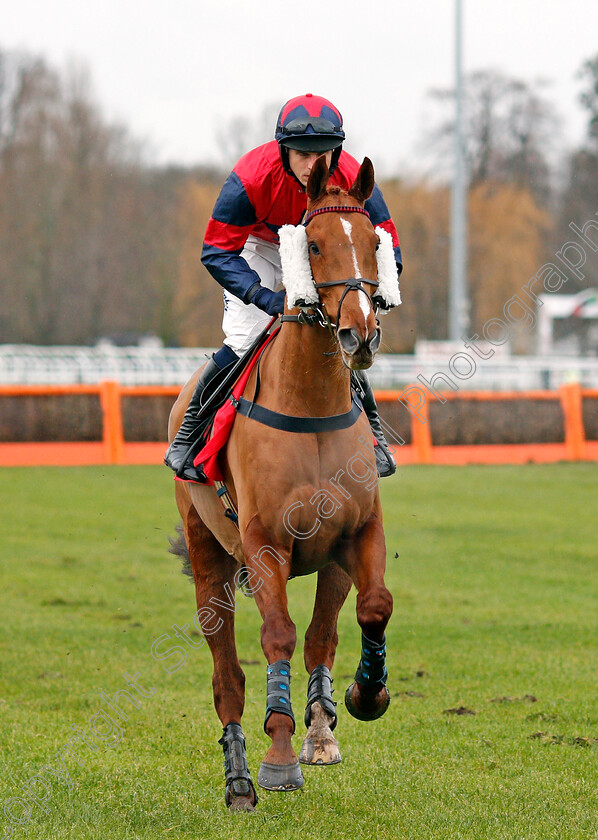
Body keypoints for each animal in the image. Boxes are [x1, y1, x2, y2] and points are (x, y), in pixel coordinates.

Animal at [169, 154, 400, 812]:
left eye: (373, 241)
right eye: (313, 244)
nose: (359, 335)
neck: (311, 405)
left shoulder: (358, 530)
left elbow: (373, 608)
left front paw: (365, 695)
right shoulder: (265, 542)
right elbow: (277, 636)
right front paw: (277, 758)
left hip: (328, 560)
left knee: (323, 635)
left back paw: (321, 729)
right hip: (209, 557)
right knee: (227, 675)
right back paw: (240, 780)